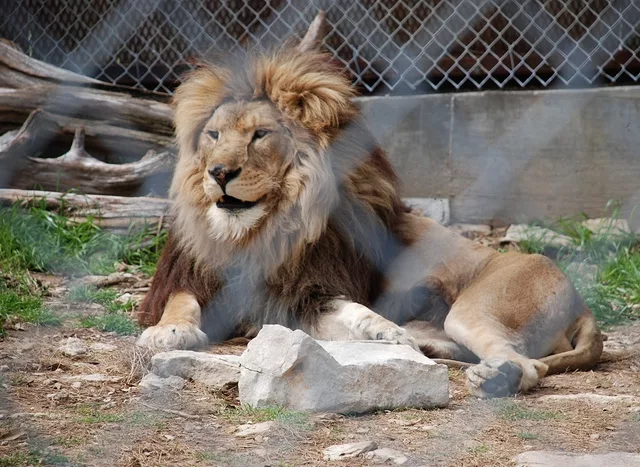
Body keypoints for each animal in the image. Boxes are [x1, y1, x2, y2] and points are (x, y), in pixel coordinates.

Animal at [136, 45, 603, 398]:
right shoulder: (196, 276)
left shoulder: (308, 292)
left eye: (260, 135)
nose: (218, 172)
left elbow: (355, 311)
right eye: (213, 136)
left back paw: (493, 376)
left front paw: (386, 332)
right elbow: (181, 301)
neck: (255, 232)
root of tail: (582, 304)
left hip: (475, 309)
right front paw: (168, 331)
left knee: (528, 365)